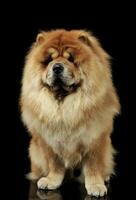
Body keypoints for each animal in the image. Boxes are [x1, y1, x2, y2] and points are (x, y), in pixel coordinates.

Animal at [20, 29, 120, 197]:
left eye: (71, 59)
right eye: (49, 60)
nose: (57, 67)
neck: (64, 105)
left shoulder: (94, 139)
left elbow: (93, 166)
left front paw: (96, 186)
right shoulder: (49, 142)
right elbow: (54, 164)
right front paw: (51, 181)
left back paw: (105, 177)